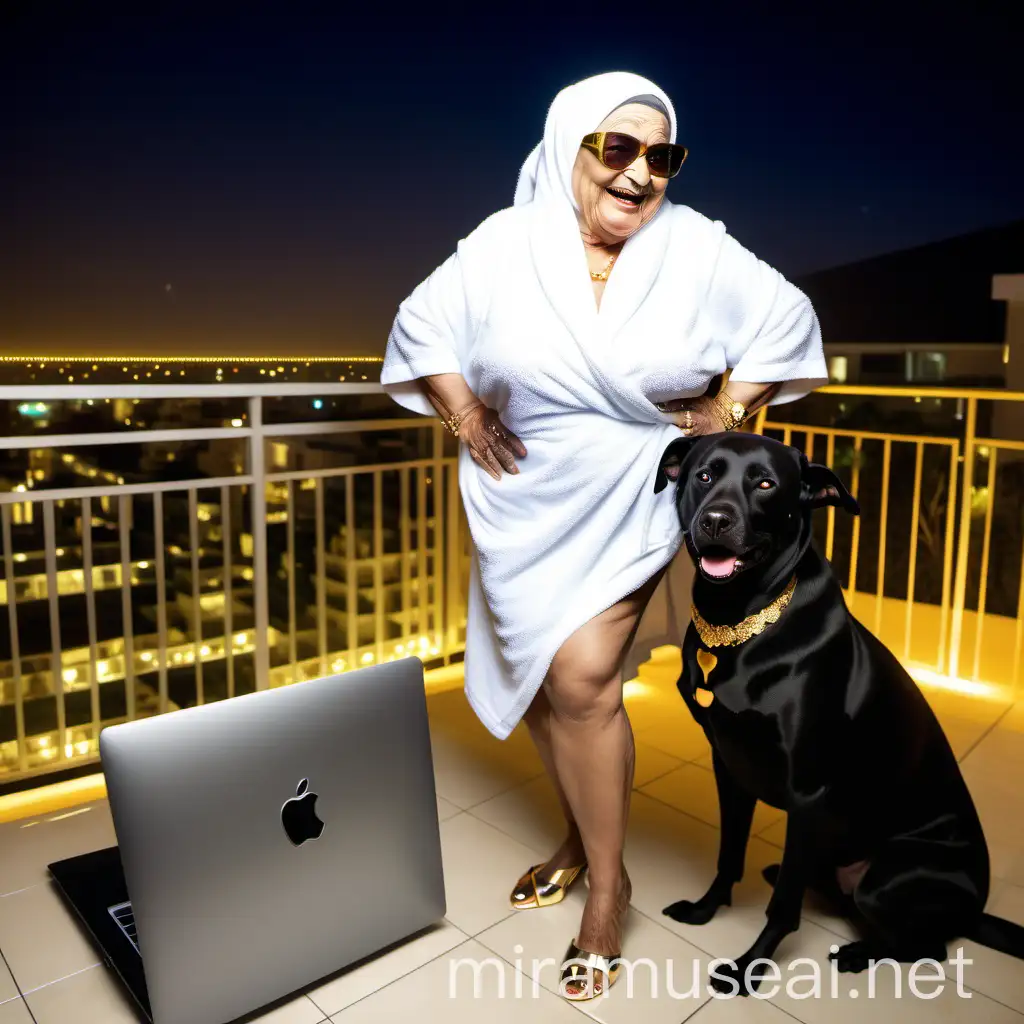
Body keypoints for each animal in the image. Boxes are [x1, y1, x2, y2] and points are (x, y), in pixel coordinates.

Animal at [655, 434, 1024, 999]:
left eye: (766, 483)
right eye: (703, 475)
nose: (716, 519)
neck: (741, 620)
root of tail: (974, 910)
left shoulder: (808, 796)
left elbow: (783, 909)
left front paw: (749, 969)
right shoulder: (730, 769)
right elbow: (728, 855)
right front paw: (706, 909)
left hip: (885, 878)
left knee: (927, 945)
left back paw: (858, 952)